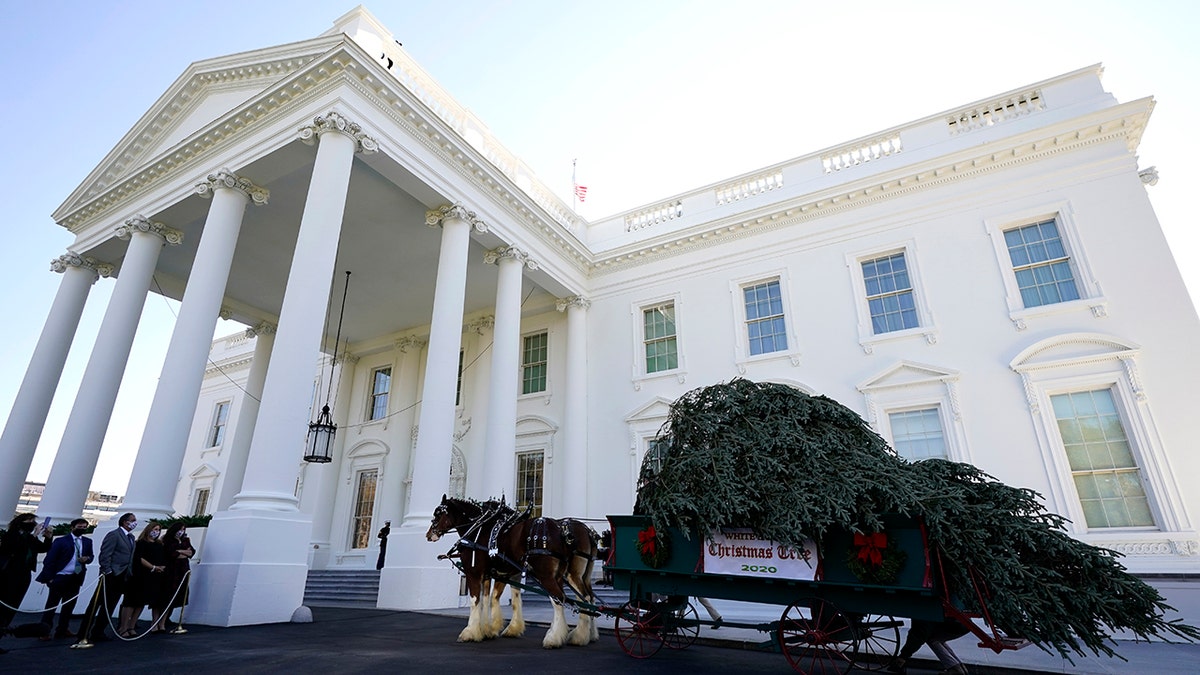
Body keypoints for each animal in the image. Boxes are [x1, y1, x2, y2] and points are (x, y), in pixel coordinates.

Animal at [429, 494, 604, 648]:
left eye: (438, 514)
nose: (429, 535)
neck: (479, 529)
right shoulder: (499, 573)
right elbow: (498, 599)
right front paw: (491, 629)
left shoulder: (475, 573)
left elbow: (476, 601)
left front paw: (470, 632)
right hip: (569, 575)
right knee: (586, 597)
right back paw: (585, 635)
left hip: (551, 575)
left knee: (561, 599)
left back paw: (556, 638)